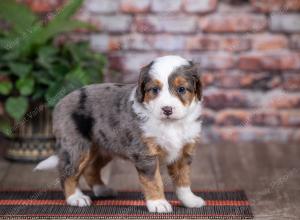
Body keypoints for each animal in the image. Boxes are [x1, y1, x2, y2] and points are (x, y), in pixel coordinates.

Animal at [34, 55, 204, 213]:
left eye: (181, 89)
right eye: (154, 90)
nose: (167, 109)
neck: (171, 124)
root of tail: (60, 102)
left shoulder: (184, 152)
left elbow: (183, 179)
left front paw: (190, 200)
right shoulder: (145, 153)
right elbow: (154, 180)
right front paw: (158, 203)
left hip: (103, 147)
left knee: (90, 169)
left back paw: (103, 190)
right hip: (77, 146)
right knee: (67, 171)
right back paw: (76, 198)